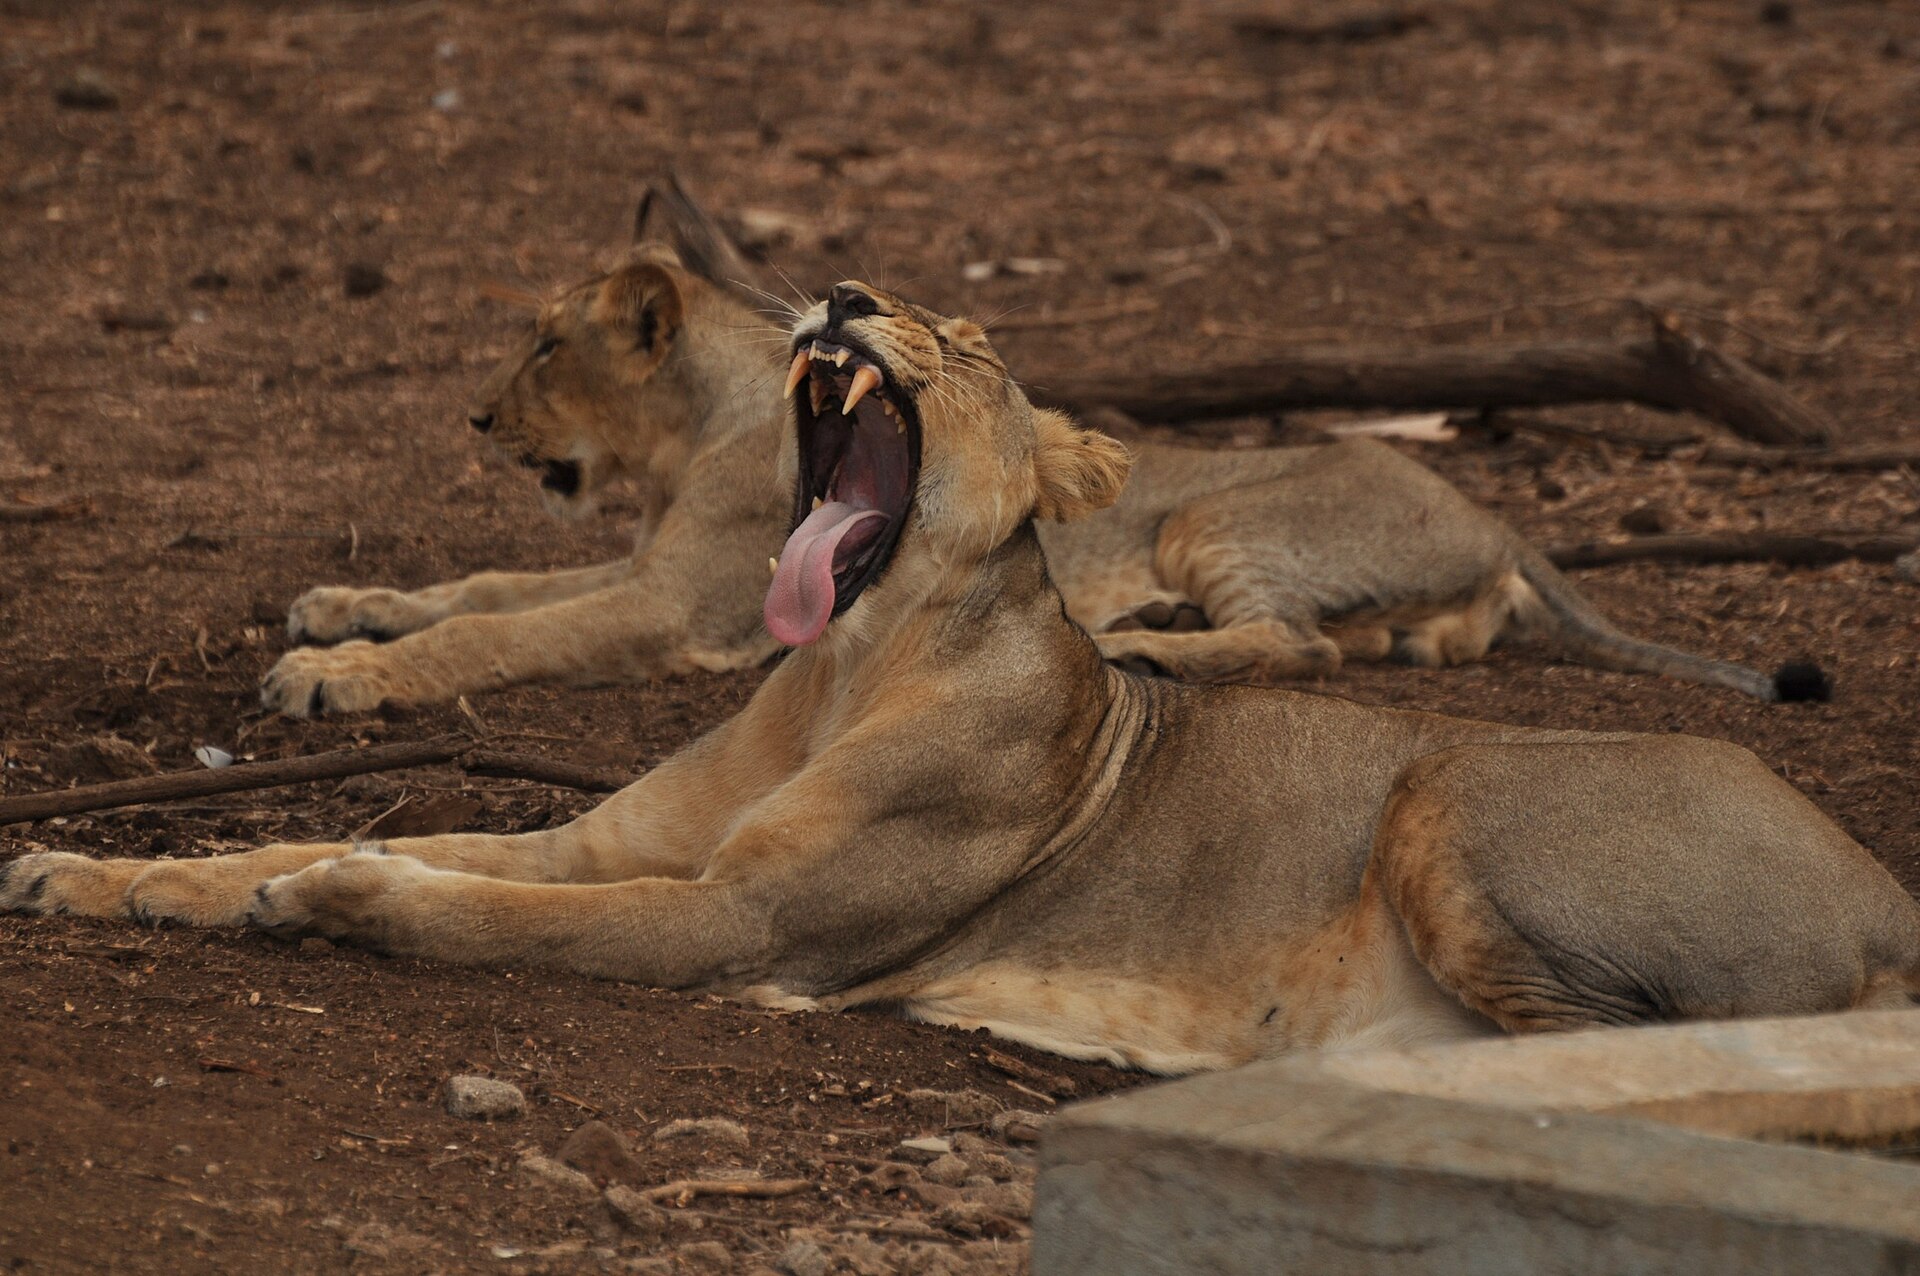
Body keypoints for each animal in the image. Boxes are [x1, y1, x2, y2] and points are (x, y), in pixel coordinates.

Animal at [11, 283, 1912, 1074]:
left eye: (973, 340)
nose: (842, 292)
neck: (843, 666)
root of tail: (1878, 874)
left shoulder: (734, 919)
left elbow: (478, 912)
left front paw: (335, 890)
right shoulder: (603, 836)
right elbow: (322, 843)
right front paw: (88, 869)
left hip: (1448, 791)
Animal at [258, 186, 1821, 719]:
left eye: (540, 347)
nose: (477, 420)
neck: (703, 427)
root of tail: (1499, 519)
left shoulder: (677, 607)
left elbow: (495, 632)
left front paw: (339, 678)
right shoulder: (647, 571)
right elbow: (483, 589)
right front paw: (338, 609)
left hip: (1218, 519)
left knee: (1294, 644)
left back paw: (1144, 640)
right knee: (1398, 639)